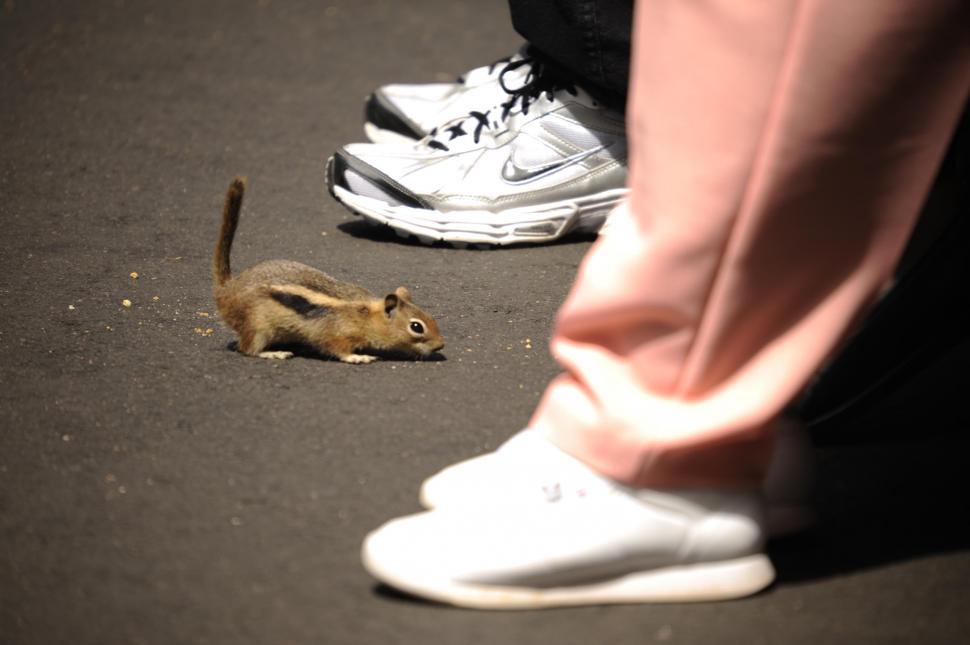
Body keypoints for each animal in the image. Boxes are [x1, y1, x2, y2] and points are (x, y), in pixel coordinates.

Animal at [212, 177, 444, 364]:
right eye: (416, 327)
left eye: (429, 316)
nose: (440, 345)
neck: (365, 315)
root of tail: (227, 289)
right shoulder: (335, 332)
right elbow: (336, 348)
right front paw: (358, 357)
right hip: (257, 324)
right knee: (247, 348)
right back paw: (273, 353)